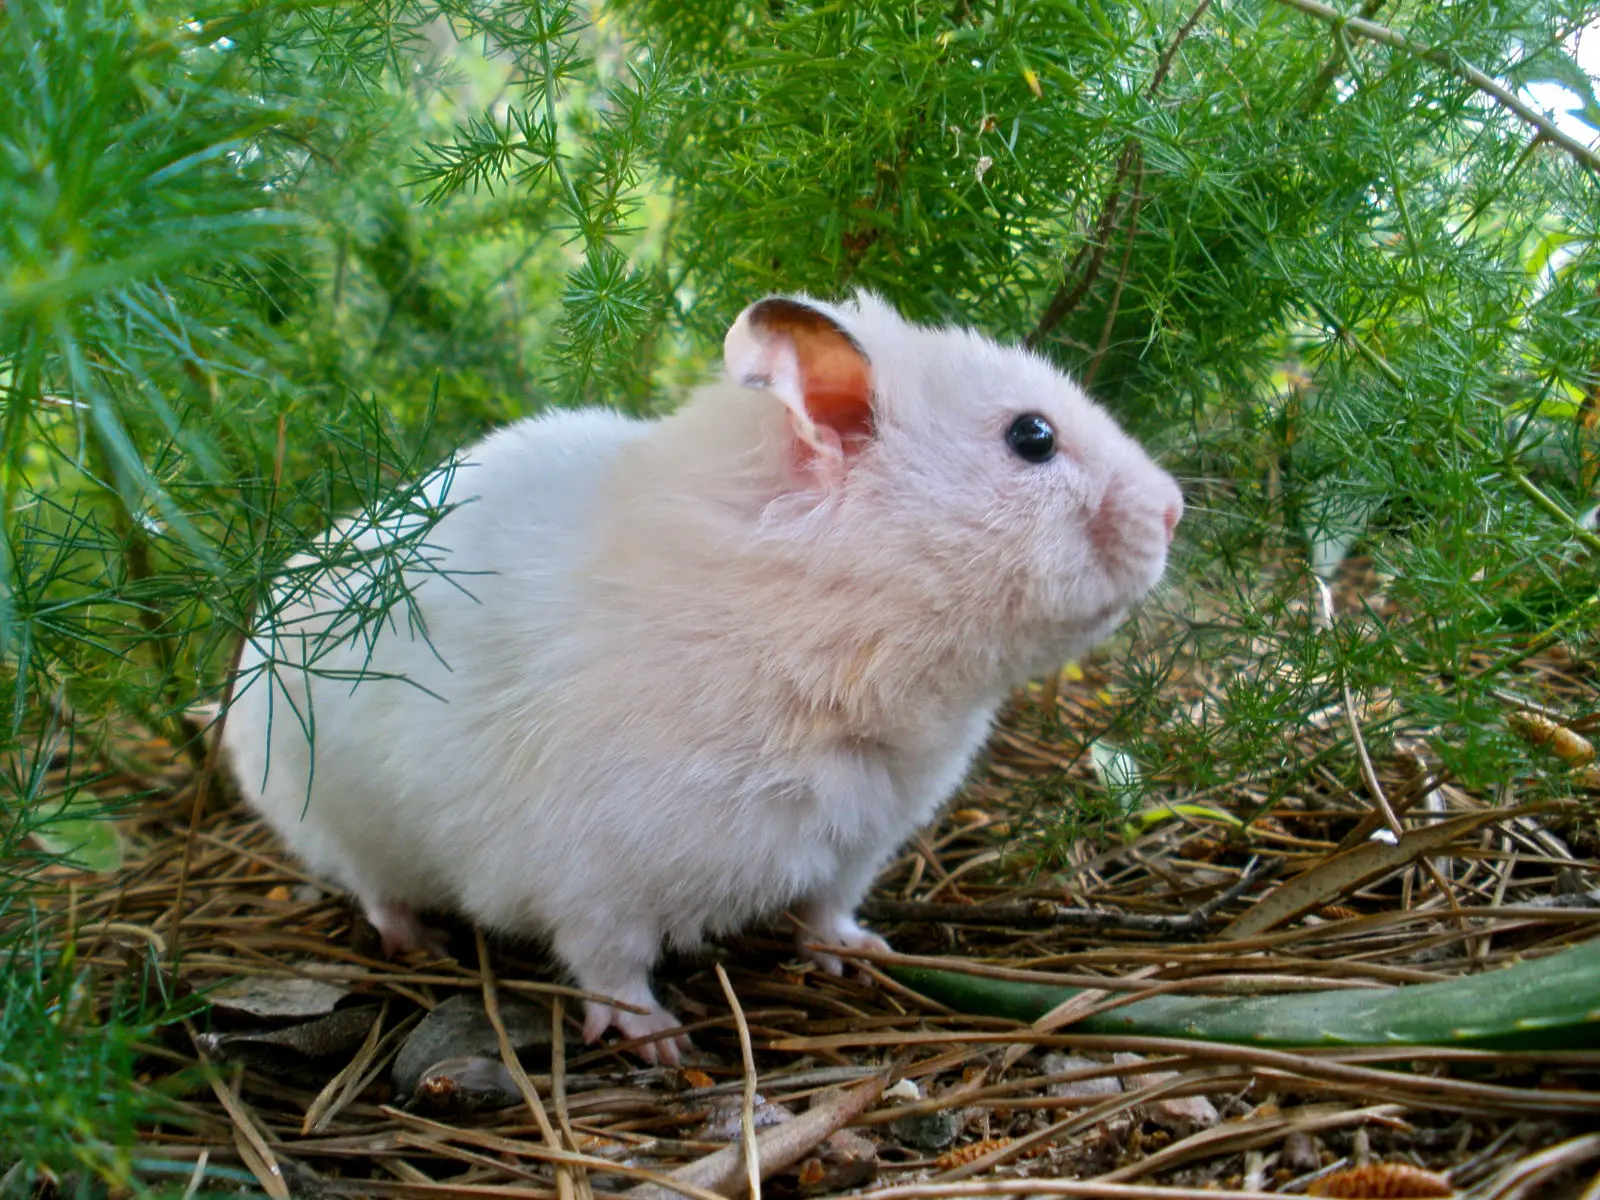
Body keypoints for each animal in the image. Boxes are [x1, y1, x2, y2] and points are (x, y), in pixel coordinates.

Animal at [222, 292, 1183, 1063]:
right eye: (1032, 437)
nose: (1175, 508)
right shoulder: (592, 873)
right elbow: (610, 967)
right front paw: (660, 1042)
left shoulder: (856, 843)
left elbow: (827, 911)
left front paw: (861, 955)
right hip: (335, 818)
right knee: (375, 888)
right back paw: (418, 943)